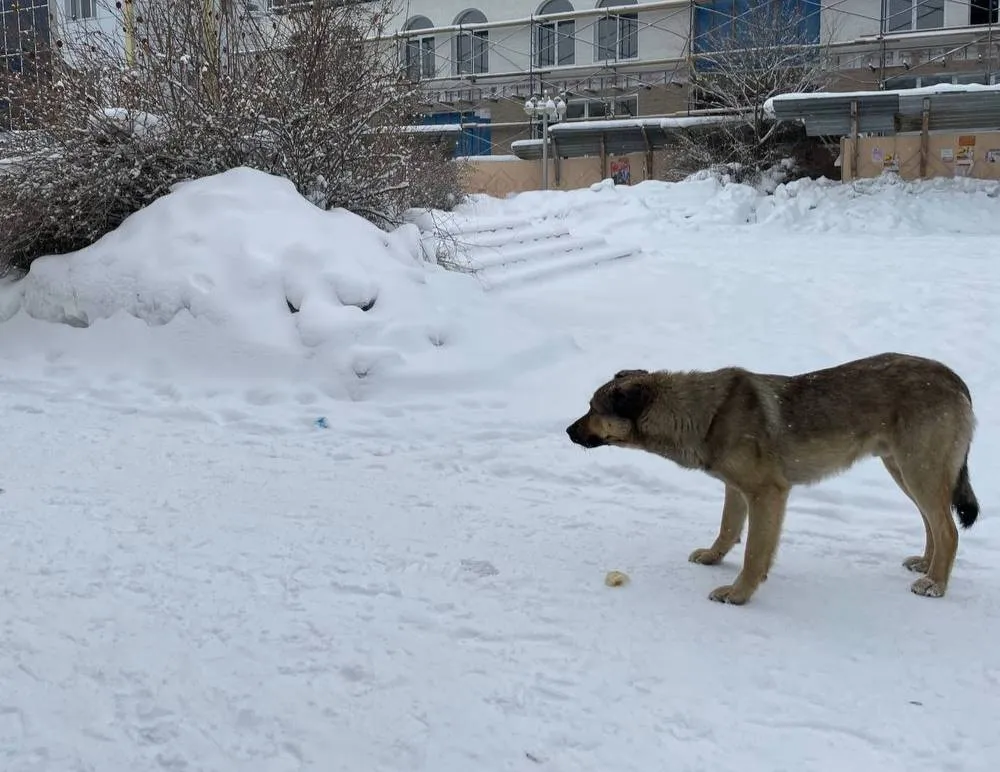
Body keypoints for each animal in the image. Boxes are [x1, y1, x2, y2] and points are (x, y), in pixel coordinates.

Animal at [568, 352, 980, 608]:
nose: (567, 431)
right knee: (932, 524)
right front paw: (713, 558)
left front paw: (738, 595)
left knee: (948, 529)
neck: (703, 414)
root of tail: (954, 378)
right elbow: (728, 529)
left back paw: (935, 585)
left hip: (918, 469)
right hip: (905, 470)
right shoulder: (736, 488)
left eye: (592, 408)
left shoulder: (768, 494)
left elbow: (754, 552)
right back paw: (926, 566)